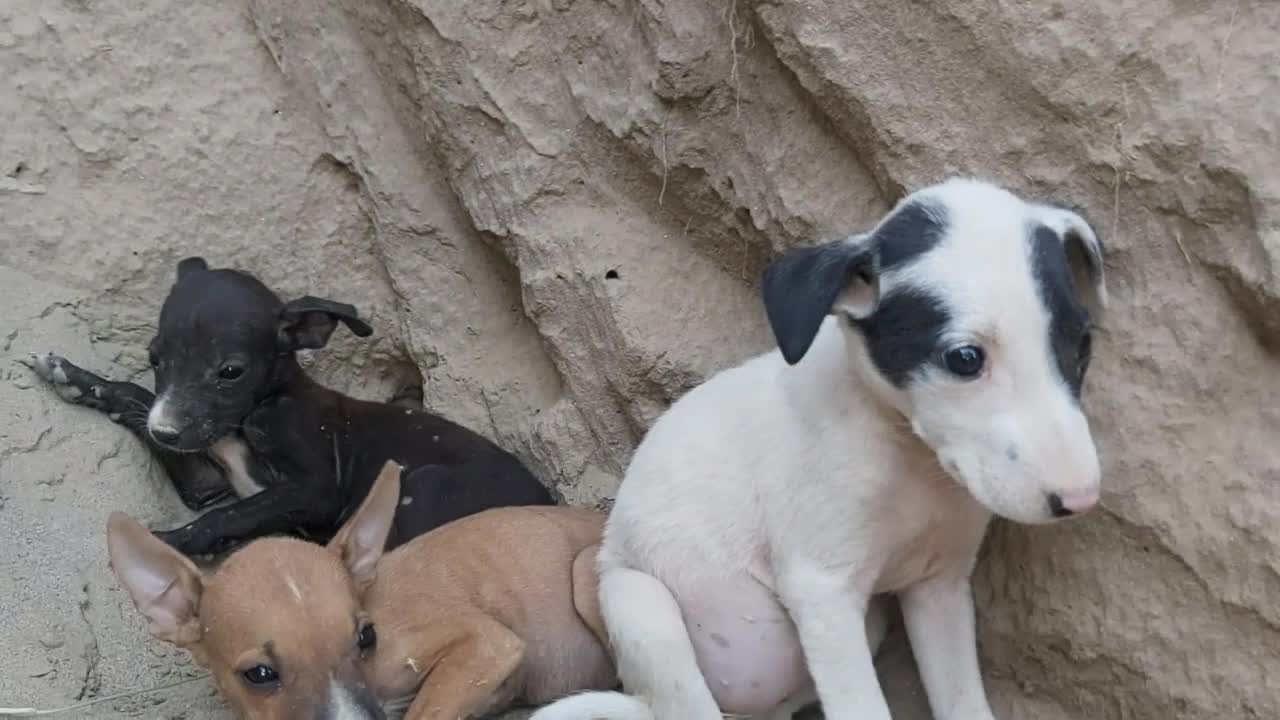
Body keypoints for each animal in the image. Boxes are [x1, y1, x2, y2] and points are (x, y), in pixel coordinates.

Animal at [24, 257, 552, 556]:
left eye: (230, 371)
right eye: (155, 358)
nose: (164, 431)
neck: (245, 421)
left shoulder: (314, 487)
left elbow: (227, 516)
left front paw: (170, 542)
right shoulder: (204, 480)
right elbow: (139, 398)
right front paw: (79, 380)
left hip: (423, 486)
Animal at [529, 175, 1111, 717]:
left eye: (1082, 345)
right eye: (965, 358)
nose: (1080, 499)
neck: (908, 459)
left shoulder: (939, 585)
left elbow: (962, 702)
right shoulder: (822, 591)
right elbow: (862, 707)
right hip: (642, 611)